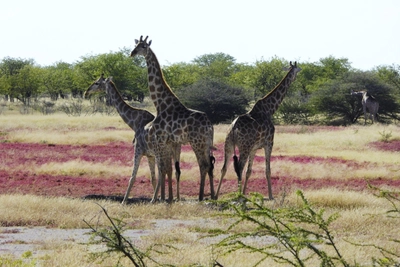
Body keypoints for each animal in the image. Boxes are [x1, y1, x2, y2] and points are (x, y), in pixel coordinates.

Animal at [84, 74, 181, 204]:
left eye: (97, 83)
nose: (86, 92)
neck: (134, 123)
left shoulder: (138, 150)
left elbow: (133, 176)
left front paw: (124, 201)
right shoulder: (150, 155)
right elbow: (152, 178)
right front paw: (158, 198)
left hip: (160, 151)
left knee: (163, 171)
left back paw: (157, 199)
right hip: (174, 150)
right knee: (174, 171)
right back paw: (174, 198)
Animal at [131, 35, 216, 201]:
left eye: (143, 46)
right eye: (136, 44)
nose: (132, 53)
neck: (160, 104)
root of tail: (210, 126)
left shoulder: (160, 140)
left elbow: (163, 168)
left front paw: (162, 199)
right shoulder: (169, 142)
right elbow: (168, 169)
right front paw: (168, 198)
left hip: (196, 142)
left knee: (203, 165)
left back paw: (200, 197)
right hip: (207, 143)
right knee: (209, 165)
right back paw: (213, 196)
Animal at [216, 61, 300, 200]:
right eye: (298, 69)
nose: (297, 76)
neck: (269, 110)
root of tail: (233, 128)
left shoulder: (254, 148)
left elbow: (249, 171)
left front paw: (246, 193)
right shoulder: (269, 143)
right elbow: (267, 170)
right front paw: (270, 195)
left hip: (228, 145)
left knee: (224, 168)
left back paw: (216, 195)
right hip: (244, 147)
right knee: (239, 167)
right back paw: (238, 196)